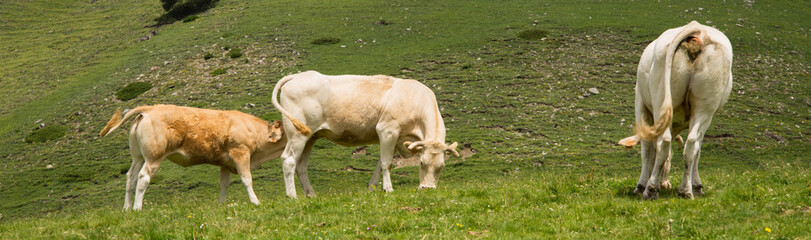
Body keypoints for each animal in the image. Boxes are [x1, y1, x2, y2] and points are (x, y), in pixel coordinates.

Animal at [272, 70, 464, 198]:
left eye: (441, 166)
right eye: (422, 163)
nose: (427, 189)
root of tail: (298, 76)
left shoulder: (396, 139)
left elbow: (381, 162)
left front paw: (373, 187)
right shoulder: (387, 130)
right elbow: (387, 163)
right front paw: (388, 189)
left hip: (311, 136)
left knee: (301, 166)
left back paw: (311, 195)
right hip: (297, 134)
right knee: (289, 160)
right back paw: (292, 196)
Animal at [620, 21, 736, 200]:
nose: (665, 184)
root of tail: (697, 29)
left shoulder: (640, 103)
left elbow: (647, 149)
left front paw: (641, 185)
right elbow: (697, 149)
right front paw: (697, 186)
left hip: (661, 100)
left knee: (664, 142)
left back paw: (651, 190)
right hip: (705, 107)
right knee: (692, 144)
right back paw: (686, 190)